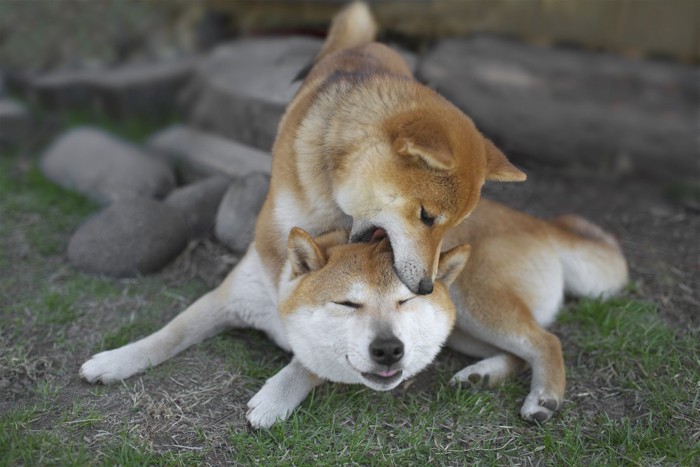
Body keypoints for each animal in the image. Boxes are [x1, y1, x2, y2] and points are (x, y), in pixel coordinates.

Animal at [79, 199, 628, 426]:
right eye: (347, 303)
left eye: (403, 301)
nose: (390, 350)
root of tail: (541, 222)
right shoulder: (225, 300)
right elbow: (168, 335)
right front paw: (116, 360)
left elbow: (306, 363)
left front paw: (274, 399)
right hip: (459, 326)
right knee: (521, 348)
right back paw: (483, 374)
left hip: (472, 303)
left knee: (545, 341)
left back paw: (543, 397)